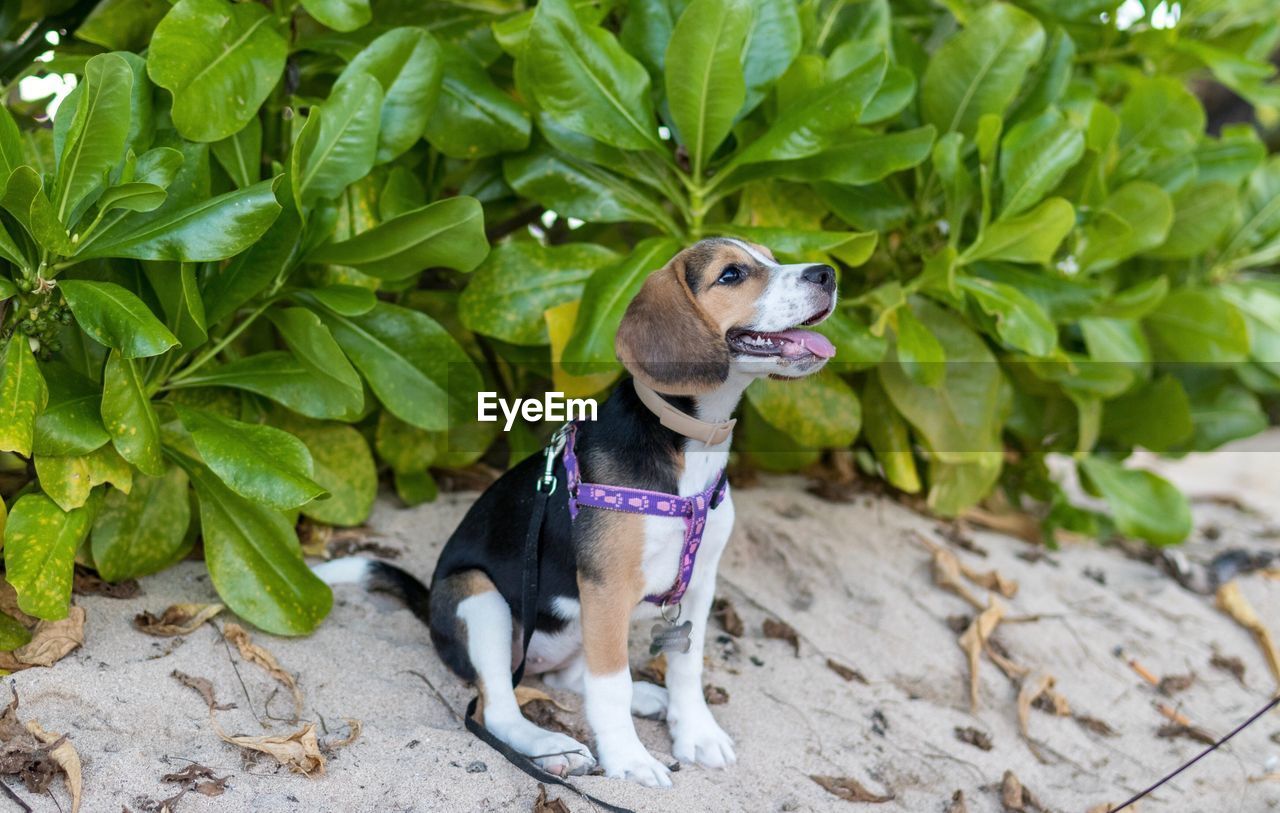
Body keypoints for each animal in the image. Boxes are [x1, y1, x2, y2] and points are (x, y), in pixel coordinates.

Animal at [318, 238, 834, 783]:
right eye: (731, 274)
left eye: (771, 256)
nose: (827, 274)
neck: (690, 445)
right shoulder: (606, 589)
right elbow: (610, 685)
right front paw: (629, 759)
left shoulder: (699, 581)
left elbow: (686, 666)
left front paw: (695, 732)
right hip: (479, 599)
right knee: (501, 706)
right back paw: (552, 747)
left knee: (566, 676)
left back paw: (645, 698)